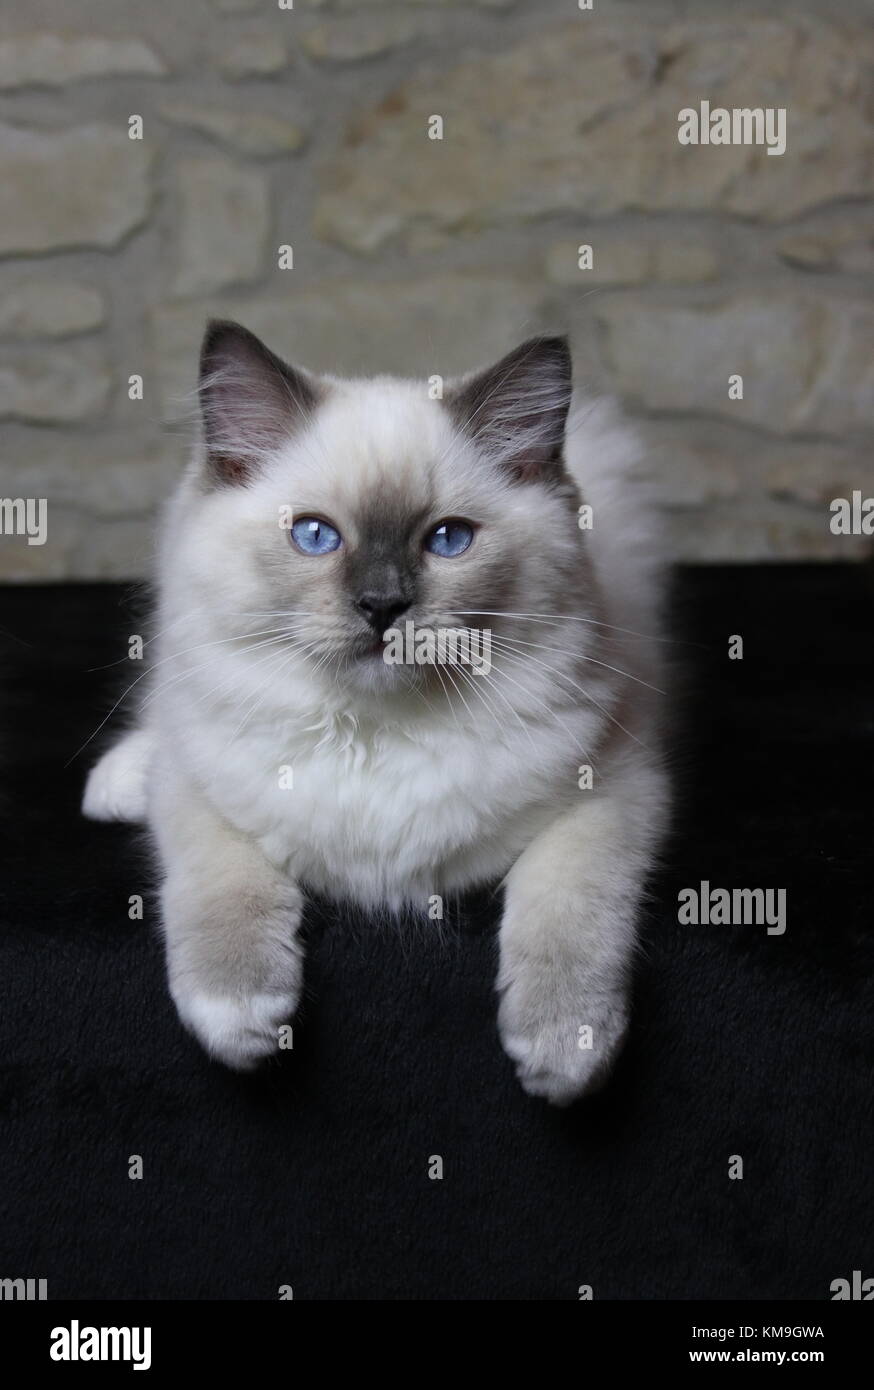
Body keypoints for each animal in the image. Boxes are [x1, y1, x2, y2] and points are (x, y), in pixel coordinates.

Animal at [83, 319, 666, 1100]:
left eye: (448, 540)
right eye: (315, 536)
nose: (382, 606)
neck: (375, 729)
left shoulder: (614, 787)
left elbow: (569, 907)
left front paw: (564, 1052)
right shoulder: (205, 795)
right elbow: (220, 884)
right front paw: (240, 1021)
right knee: (161, 729)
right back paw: (113, 785)